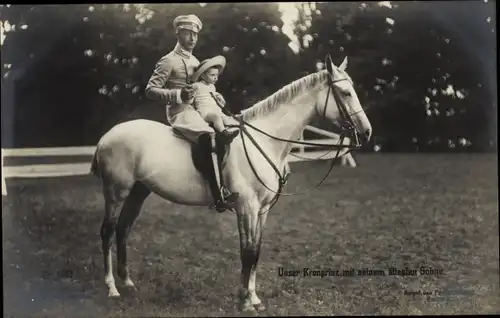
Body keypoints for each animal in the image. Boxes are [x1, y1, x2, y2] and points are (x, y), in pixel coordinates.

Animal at [90, 55, 372, 314]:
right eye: (345, 93)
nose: (366, 131)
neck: (264, 141)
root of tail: (106, 136)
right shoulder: (246, 207)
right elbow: (247, 252)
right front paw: (245, 302)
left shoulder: (262, 210)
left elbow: (256, 251)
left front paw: (253, 298)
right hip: (116, 192)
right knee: (107, 231)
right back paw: (112, 288)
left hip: (139, 191)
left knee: (123, 229)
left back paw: (127, 283)